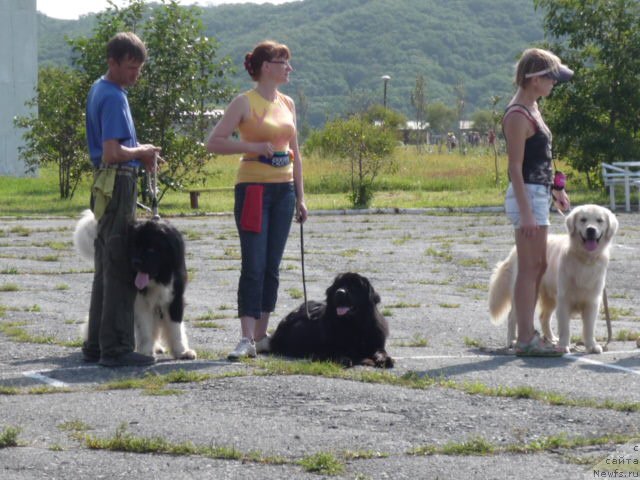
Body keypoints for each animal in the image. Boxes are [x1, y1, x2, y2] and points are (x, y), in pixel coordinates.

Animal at [73, 210, 195, 360]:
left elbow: (175, 328)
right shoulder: (140, 304)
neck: (158, 279)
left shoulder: (175, 298)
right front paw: (146, 352)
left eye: (151, 249)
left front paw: (182, 351)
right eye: (134, 247)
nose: (135, 262)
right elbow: (144, 329)